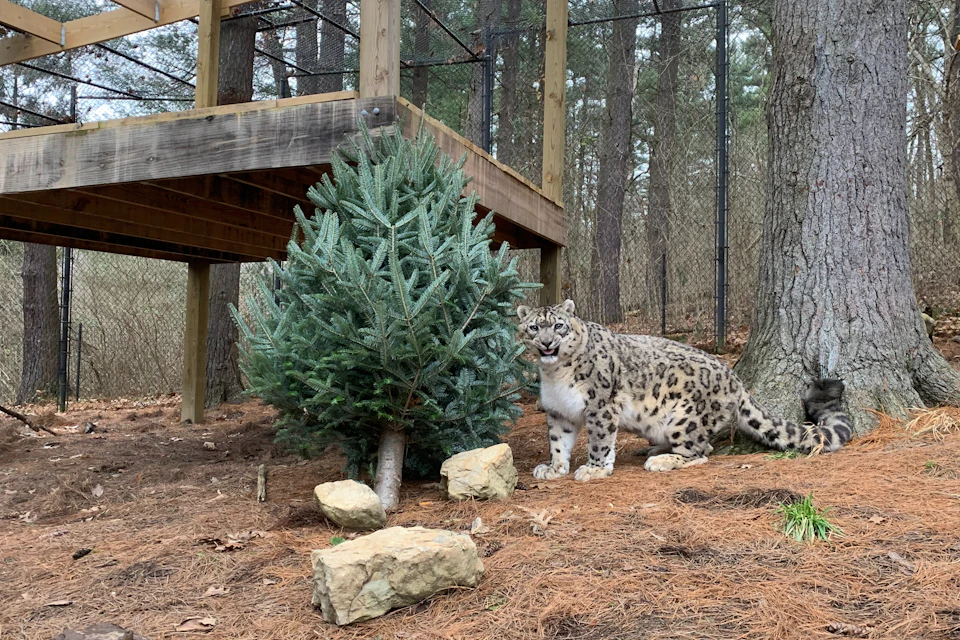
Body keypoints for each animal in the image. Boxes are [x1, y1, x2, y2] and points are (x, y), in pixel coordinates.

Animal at [516, 299, 852, 481]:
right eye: (534, 327)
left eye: (558, 326)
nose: (546, 343)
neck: (554, 373)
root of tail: (735, 379)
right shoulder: (558, 411)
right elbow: (558, 442)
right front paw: (554, 467)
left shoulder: (600, 406)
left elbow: (599, 440)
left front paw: (594, 469)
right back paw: (656, 450)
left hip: (684, 418)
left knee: (701, 451)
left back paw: (661, 461)